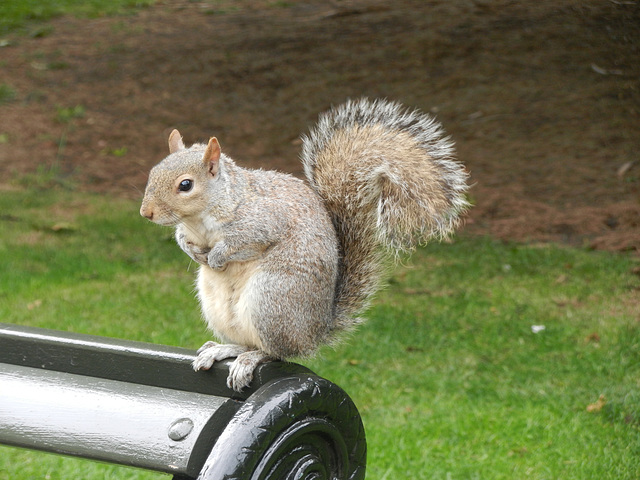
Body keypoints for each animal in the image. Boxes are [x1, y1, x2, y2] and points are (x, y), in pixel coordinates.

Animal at [141, 97, 470, 390]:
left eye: (186, 185)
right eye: (152, 172)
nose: (146, 213)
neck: (200, 219)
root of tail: (315, 331)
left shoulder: (263, 221)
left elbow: (243, 242)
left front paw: (217, 256)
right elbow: (182, 238)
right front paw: (192, 251)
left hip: (272, 300)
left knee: (275, 351)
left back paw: (250, 359)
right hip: (221, 309)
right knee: (247, 343)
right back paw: (224, 349)